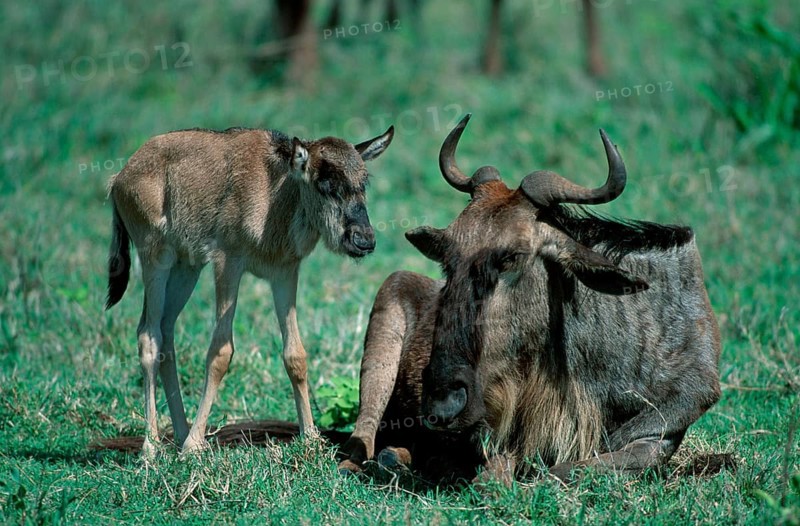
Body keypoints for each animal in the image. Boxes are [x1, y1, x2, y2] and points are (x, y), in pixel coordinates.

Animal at [105, 124, 394, 459]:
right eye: (325, 183)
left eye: (363, 182)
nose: (364, 240)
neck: (277, 196)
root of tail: (121, 176)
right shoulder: (228, 262)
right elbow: (220, 352)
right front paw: (194, 446)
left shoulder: (284, 272)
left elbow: (295, 354)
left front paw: (310, 438)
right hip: (155, 257)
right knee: (148, 336)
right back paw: (151, 447)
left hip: (186, 267)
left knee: (166, 333)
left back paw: (179, 433)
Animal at [338, 114, 721, 483]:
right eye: (448, 257)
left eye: (512, 256)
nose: (442, 403)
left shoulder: (663, 430)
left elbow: (571, 469)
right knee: (365, 437)